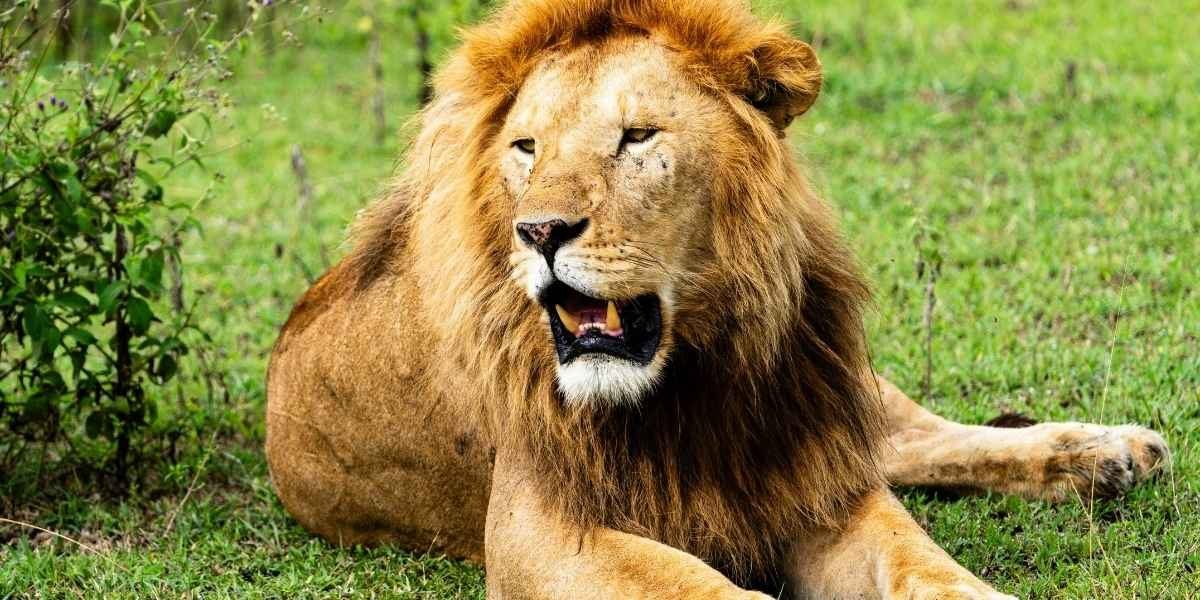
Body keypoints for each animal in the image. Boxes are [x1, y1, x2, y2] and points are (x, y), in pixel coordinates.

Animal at [265, 1, 1169, 597]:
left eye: (636, 137)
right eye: (526, 148)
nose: (540, 231)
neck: (691, 379)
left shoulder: (818, 476)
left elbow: (927, 567)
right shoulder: (537, 534)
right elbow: (701, 589)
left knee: (917, 437)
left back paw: (1105, 451)